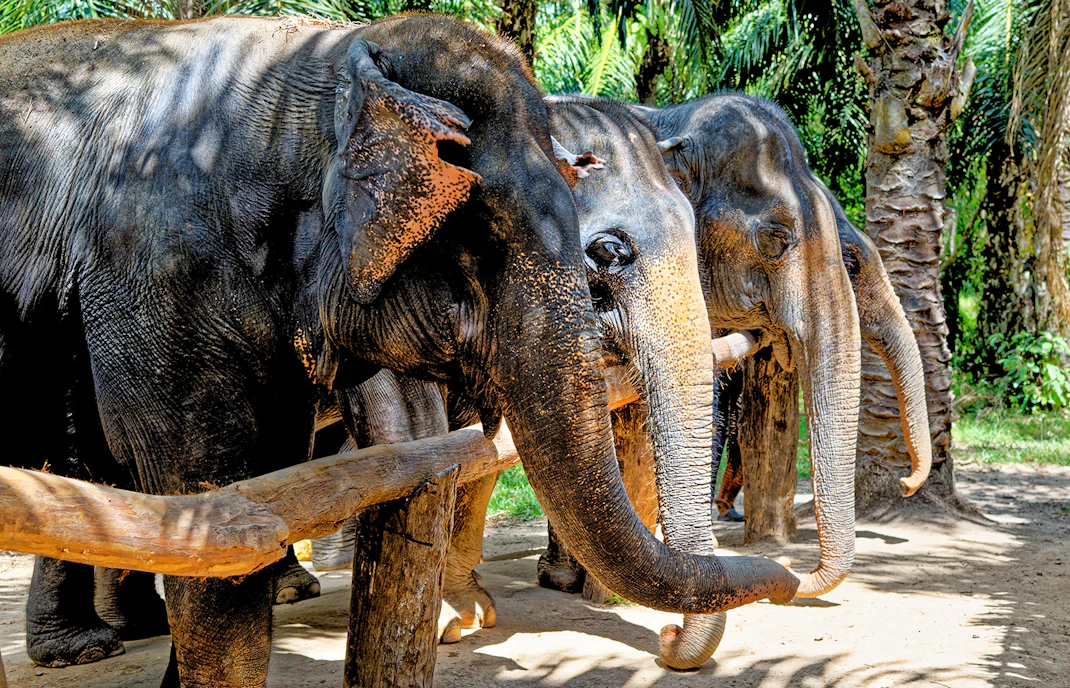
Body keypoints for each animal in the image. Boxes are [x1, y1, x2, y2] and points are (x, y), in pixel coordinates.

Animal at [0, 16, 798, 686]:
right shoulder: (156, 273)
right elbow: (212, 514)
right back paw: (86, 649)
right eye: (482, 233)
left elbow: (261, 490)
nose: (792, 584)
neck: (318, 64)